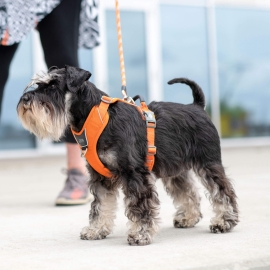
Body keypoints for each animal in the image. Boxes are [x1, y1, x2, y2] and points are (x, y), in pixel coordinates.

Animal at [16, 66, 238, 247]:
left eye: (54, 85)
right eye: (38, 84)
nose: (25, 100)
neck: (94, 117)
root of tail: (197, 107)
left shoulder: (134, 173)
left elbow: (140, 206)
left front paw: (140, 234)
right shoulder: (100, 177)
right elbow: (100, 205)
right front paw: (96, 230)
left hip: (208, 164)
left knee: (222, 191)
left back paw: (224, 222)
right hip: (175, 171)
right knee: (188, 192)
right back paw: (188, 218)